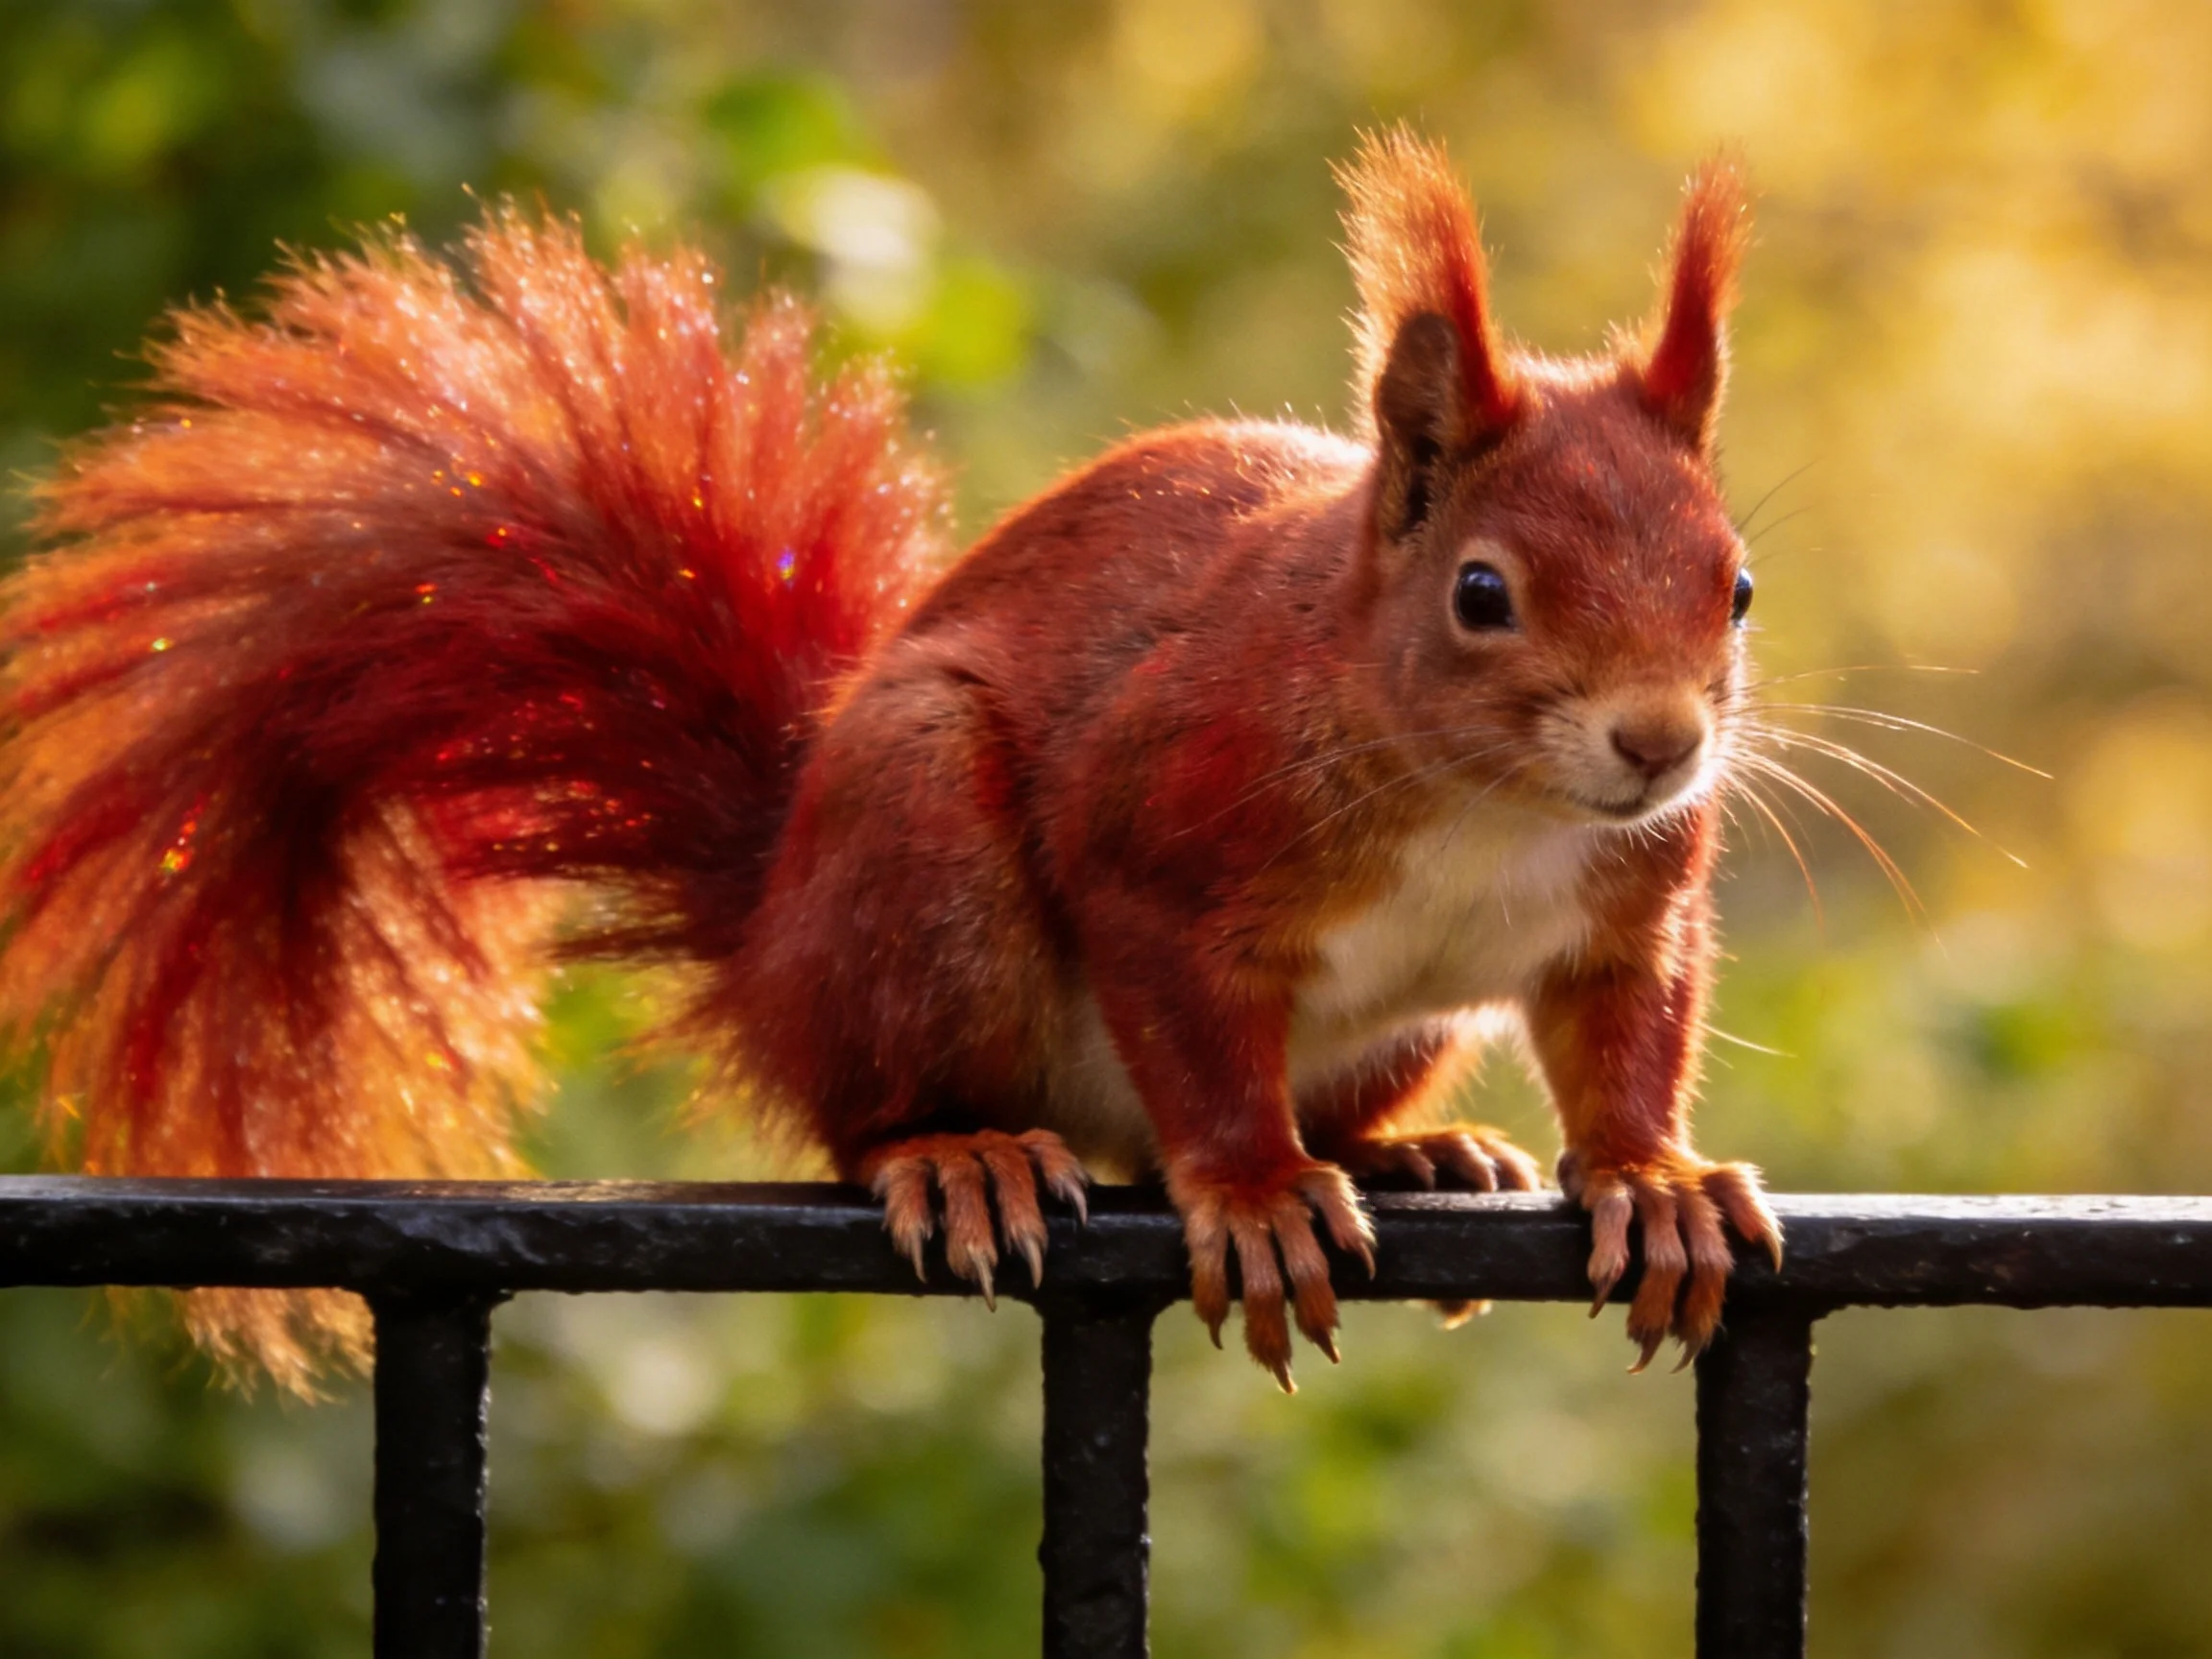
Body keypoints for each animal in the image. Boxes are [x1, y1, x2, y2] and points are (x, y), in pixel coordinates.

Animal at [0, 129, 1780, 1392]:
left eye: (1736, 584)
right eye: (1480, 593)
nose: (1659, 741)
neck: (1488, 806)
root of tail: (772, 936)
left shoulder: (1632, 902)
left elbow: (1627, 1030)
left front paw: (1650, 1177)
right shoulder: (1168, 825)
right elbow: (1192, 1031)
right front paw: (1257, 1192)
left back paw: (1407, 1148)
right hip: (917, 852)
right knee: (865, 1111)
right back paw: (963, 1150)